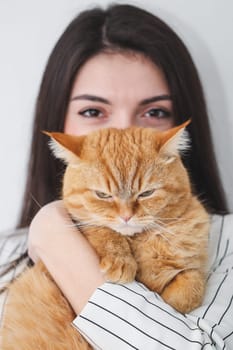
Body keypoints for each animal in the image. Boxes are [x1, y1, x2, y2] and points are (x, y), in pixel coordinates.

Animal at [1, 121, 209, 348]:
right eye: (102, 195)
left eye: (146, 193)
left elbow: (192, 287)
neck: (140, 242)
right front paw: (120, 260)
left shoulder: (194, 267)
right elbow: (101, 230)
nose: (126, 216)